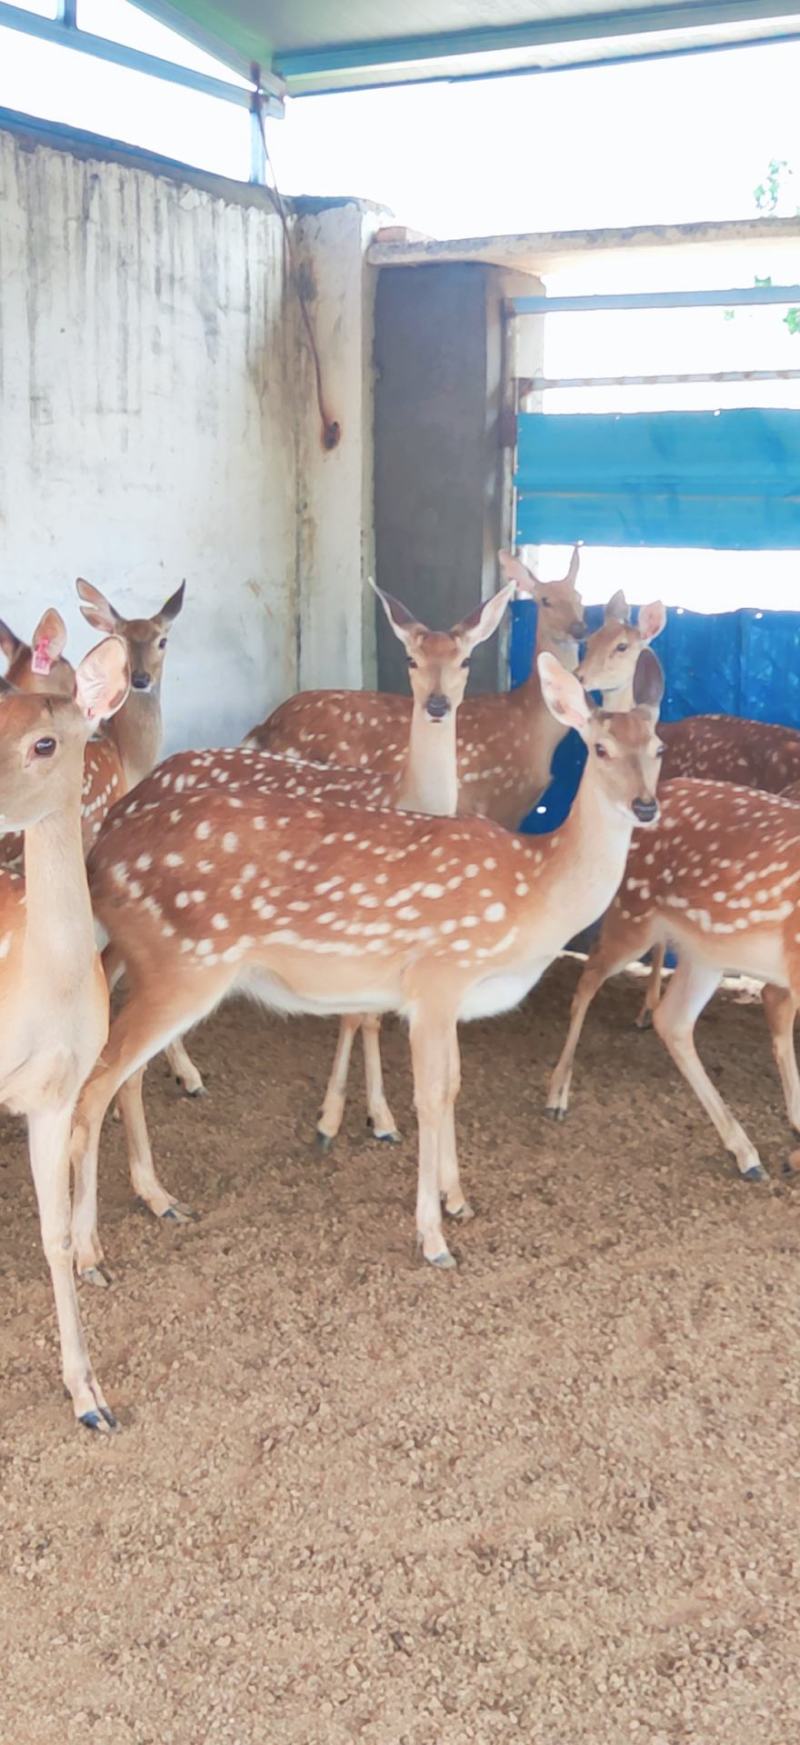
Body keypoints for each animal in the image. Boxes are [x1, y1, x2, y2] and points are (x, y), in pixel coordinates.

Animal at [68, 649, 663, 1291]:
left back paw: (160, 1200)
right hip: (181, 964)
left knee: (122, 1077)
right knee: (93, 1086)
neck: (533, 889)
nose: (646, 805)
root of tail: (99, 857)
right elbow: (430, 1096)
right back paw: (89, 1256)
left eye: (658, 747)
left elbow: (454, 1086)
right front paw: (434, 1238)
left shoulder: (453, 997)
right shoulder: (436, 976)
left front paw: (458, 1199)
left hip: (161, 969)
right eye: (599, 748)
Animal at [246, 554, 590, 834]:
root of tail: (264, 727)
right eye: (545, 600)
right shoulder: (498, 799)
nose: (579, 628)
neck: (531, 726)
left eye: (579, 596)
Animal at [544, 771, 800, 1179]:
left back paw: (747, 1154)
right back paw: (557, 1095)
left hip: (706, 949)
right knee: (588, 979)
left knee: (674, 1020)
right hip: (634, 912)